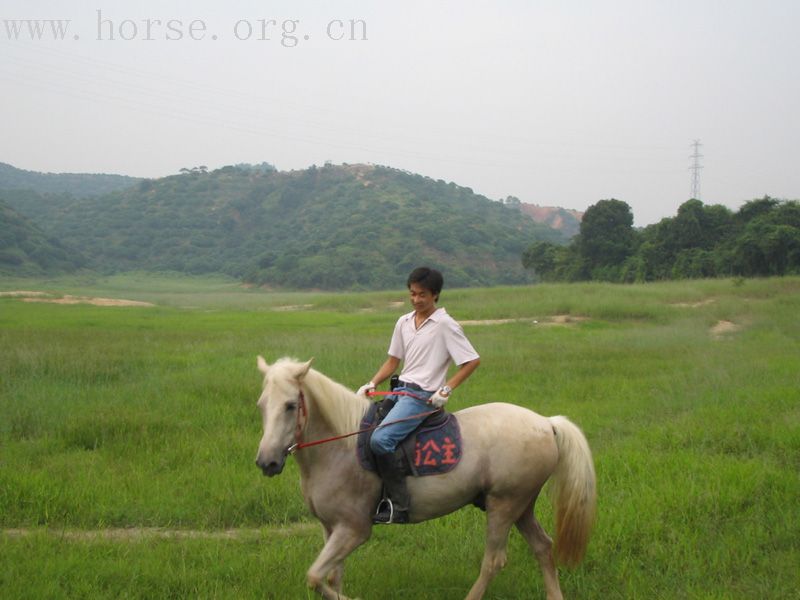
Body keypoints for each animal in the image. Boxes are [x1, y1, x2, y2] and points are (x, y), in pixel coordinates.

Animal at [253, 358, 596, 596]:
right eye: (261, 405)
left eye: (291, 405)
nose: (267, 462)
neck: (340, 447)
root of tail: (546, 423)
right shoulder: (331, 528)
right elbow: (331, 578)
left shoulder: (353, 530)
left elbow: (315, 577)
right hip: (521, 505)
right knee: (543, 547)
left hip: (504, 504)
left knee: (494, 560)